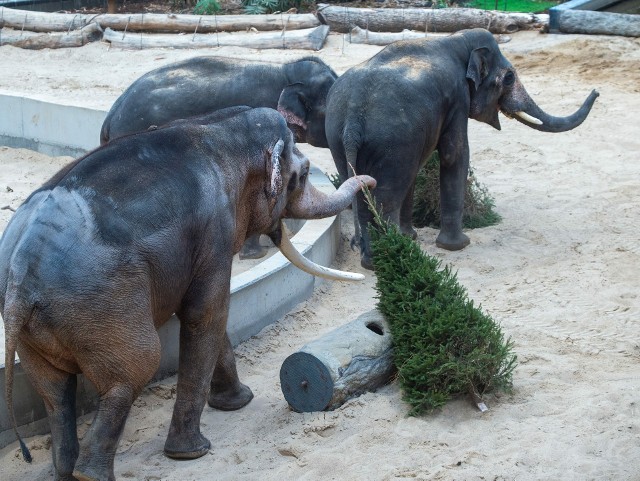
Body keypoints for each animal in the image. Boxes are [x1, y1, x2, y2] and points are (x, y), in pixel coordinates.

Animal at [1, 106, 376, 480]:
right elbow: (208, 313)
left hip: (39, 330)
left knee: (55, 394)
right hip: (101, 305)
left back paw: (65, 471)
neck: (216, 127)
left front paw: (238, 402)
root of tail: (21, 272)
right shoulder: (215, 231)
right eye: (304, 173)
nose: (370, 181)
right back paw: (90, 474)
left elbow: (211, 315)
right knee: (133, 372)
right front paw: (193, 452)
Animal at [324, 29, 600, 270]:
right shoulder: (457, 97)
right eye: (509, 77)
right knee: (386, 198)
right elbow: (454, 154)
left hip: (340, 137)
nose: (597, 91)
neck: (455, 40)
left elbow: (418, 169)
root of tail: (353, 121)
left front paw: (413, 237)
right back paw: (389, 260)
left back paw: (377, 258)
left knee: (360, 190)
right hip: (391, 139)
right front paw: (458, 246)